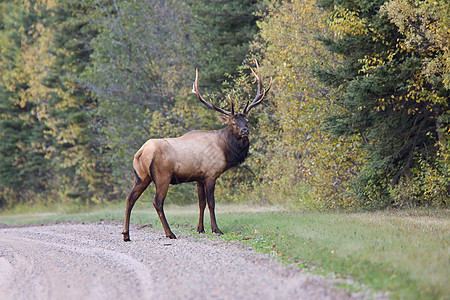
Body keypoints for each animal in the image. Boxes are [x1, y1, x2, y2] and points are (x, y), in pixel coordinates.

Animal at [121, 60, 272, 241]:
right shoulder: (211, 174)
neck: (226, 151)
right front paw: (216, 229)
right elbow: (211, 203)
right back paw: (169, 233)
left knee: (130, 198)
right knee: (157, 202)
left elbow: (201, 203)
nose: (245, 131)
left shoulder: (199, 177)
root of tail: (141, 153)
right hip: (162, 176)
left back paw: (126, 234)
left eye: (247, 120)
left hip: (141, 176)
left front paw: (200, 228)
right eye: (233, 123)